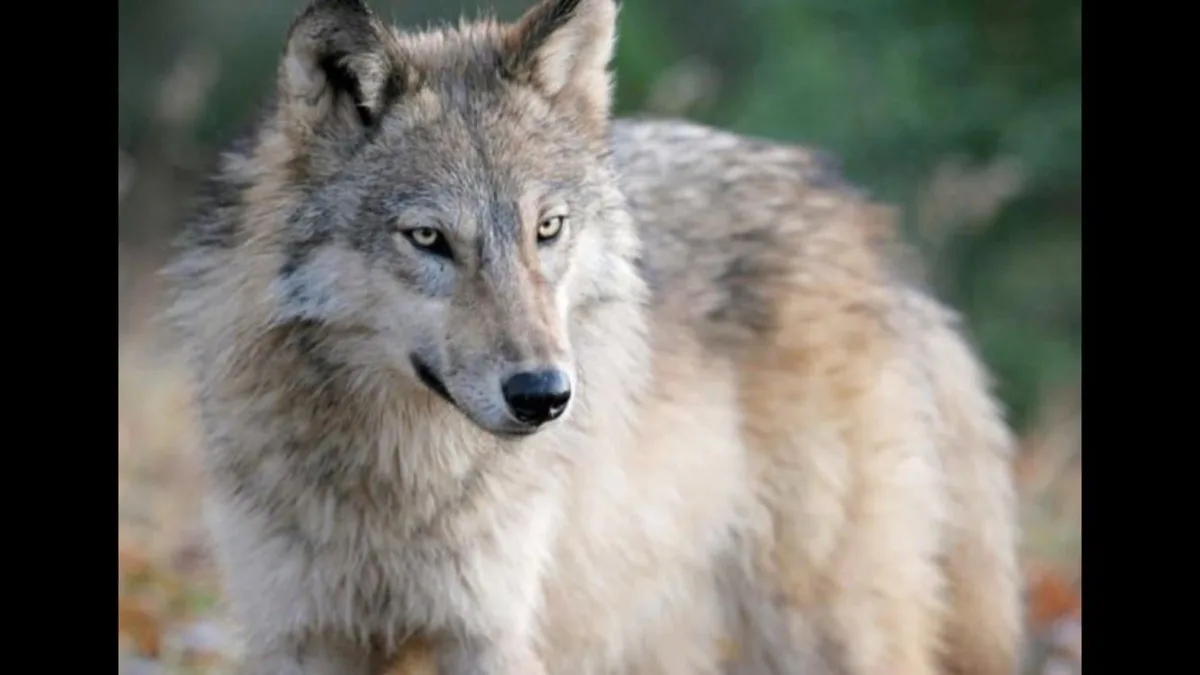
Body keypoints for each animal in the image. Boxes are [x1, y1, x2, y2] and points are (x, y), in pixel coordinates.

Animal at [166, 0, 1023, 673]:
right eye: (429, 238)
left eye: (547, 228)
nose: (544, 395)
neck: (396, 480)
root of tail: (860, 217)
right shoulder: (301, 635)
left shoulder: (490, 634)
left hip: (826, 620)